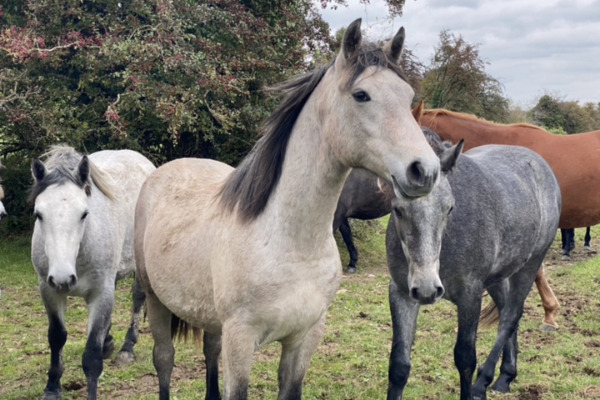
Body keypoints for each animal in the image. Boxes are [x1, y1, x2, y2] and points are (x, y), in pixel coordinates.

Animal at [29, 145, 156, 400]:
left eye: (84, 213)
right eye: (39, 214)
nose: (63, 278)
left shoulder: (100, 293)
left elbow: (91, 355)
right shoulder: (49, 290)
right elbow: (57, 337)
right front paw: (52, 387)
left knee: (138, 299)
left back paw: (127, 348)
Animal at [136, 19, 440, 400]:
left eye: (408, 96)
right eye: (361, 95)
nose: (425, 171)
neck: (291, 244)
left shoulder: (304, 338)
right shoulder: (241, 341)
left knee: (209, 352)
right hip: (155, 300)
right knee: (164, 359)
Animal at [386, 129, 560, 400]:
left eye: (449, 208)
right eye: (398, 209)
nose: (427, 289)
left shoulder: (470, 295)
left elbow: (465, 359)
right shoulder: (402, 293)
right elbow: (399, 365)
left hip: (530, 265)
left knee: (510, 316)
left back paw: (485, 381)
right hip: (498, 278)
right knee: (508, 313)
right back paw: (506, 376)